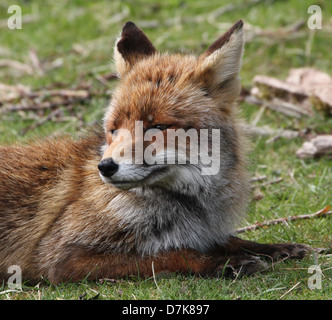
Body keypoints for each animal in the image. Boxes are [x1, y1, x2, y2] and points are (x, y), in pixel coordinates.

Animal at [0, 21, 308, 284]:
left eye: (157, 127)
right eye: (113, 130)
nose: (105, 167)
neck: (192, 208)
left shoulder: (206, 232)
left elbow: (232, 240)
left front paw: (274, 248)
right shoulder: (63, 259)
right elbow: (170, 254)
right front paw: (222, 263)